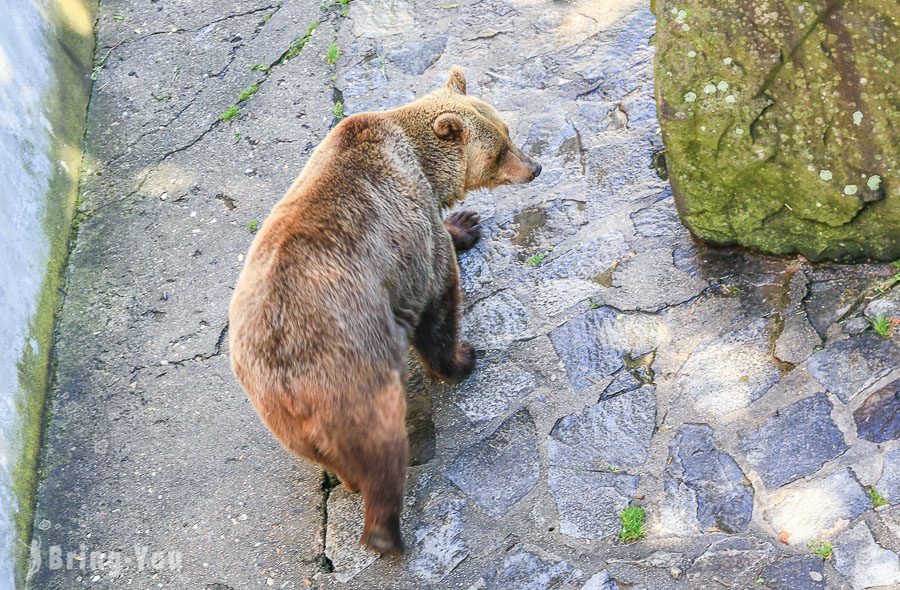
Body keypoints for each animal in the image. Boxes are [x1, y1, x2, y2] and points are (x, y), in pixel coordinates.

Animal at [230, 67, 540, 556]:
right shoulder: (409, 236)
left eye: (507, 131)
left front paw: (465, 222)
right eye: (498, 151)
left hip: (283, 416)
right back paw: (386, 531)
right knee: (381, 449)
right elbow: (438, 298)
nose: (534, 166)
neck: (423, 163)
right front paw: (461, 358)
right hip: (351, 371)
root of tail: (281, 375)